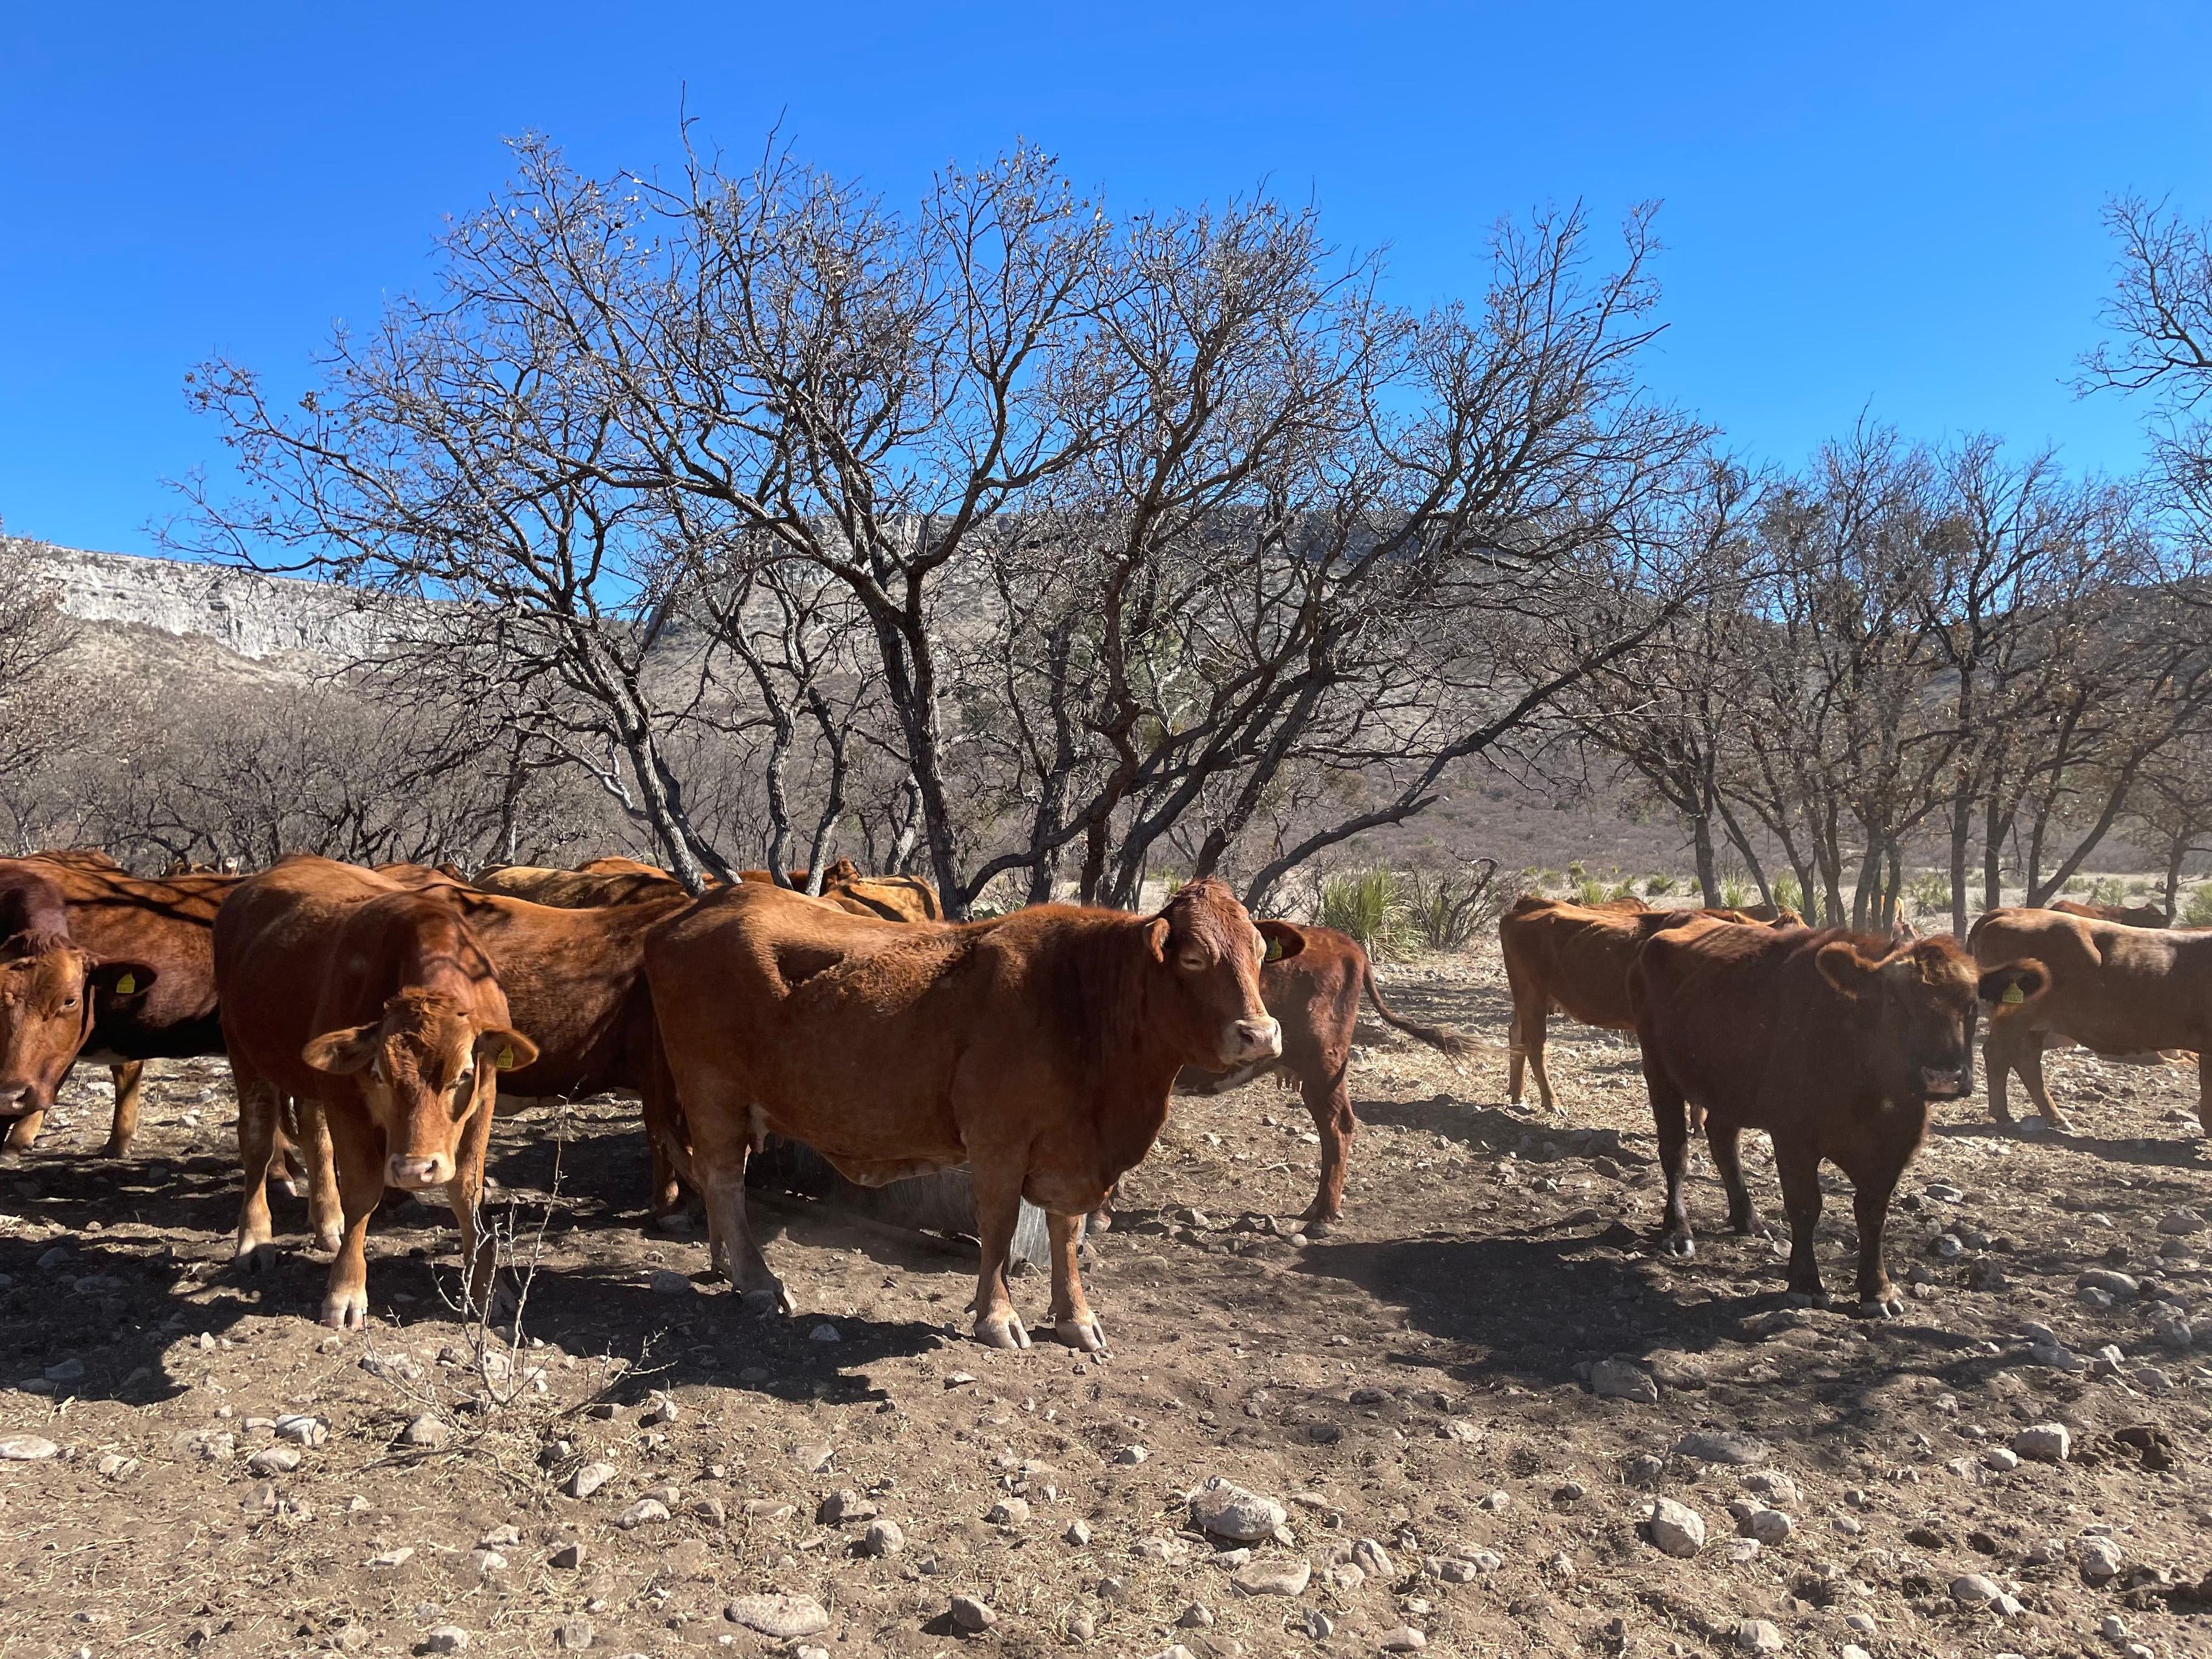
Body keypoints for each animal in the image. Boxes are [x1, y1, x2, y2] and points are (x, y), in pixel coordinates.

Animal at [646, 885, 1283, 1354]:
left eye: (1257, 952)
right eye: (1196, 957)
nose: (1260, 1033)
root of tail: (707, 904)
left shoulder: (1069, 1152)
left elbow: (1066, 1232)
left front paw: (1076, 1319)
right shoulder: (998, 1141)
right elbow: (999, 1228)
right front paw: (997, 1317)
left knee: (718, 1183)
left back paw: (726, 1263)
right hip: (713, 1093)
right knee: (724, 1182)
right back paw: (757, 1281)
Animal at [1504, 898, 1796, 1119]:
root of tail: (1527, 903)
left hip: (1527, 998)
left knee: (1516, 1034)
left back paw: (1518, 1095)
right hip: (1532, 995)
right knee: (1536, 1046)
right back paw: (1552, 1103)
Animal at [1628, 929, 2035, 1318]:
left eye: (1972, 1005)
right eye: (1894, 1002)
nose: (1943, 1076)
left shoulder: (1895, 1145)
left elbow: (1872, 1214)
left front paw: (1878, 1291)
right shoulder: (1794, 1136)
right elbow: (1806, 1205)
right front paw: (1805, 1284)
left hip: (1727, 1086)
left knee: (1722, 1140)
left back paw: (1750, 1221)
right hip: (1659, 1070)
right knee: (1675, 1153)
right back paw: (1678, 1232)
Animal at [1973, 911, 2212, 1141]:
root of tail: (2006, 912)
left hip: (2033, 1025)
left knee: (2026, 1060)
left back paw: (2055, 1118)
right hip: (2015, 1017)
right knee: (1998, 1054)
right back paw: (2005, 1115)